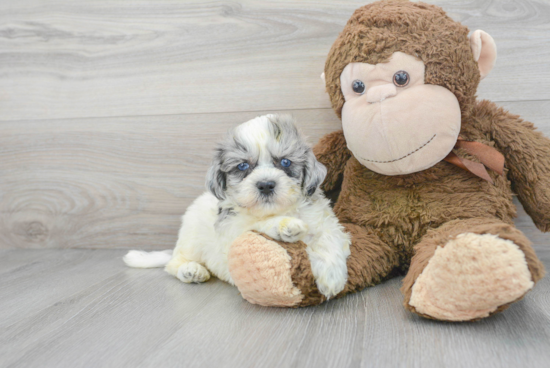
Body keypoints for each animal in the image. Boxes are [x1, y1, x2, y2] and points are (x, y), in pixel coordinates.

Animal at [124, 114, 352, 300]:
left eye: (285, 162)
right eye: (243, 166)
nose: (266, 184)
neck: (278, 210)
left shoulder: (326, 222)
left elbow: (329, 238)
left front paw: (332, 279)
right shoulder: (232, 231)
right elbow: (256, 225)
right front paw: (285, 225)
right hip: (191, 240)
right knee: (173, 263)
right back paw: (190, 270)